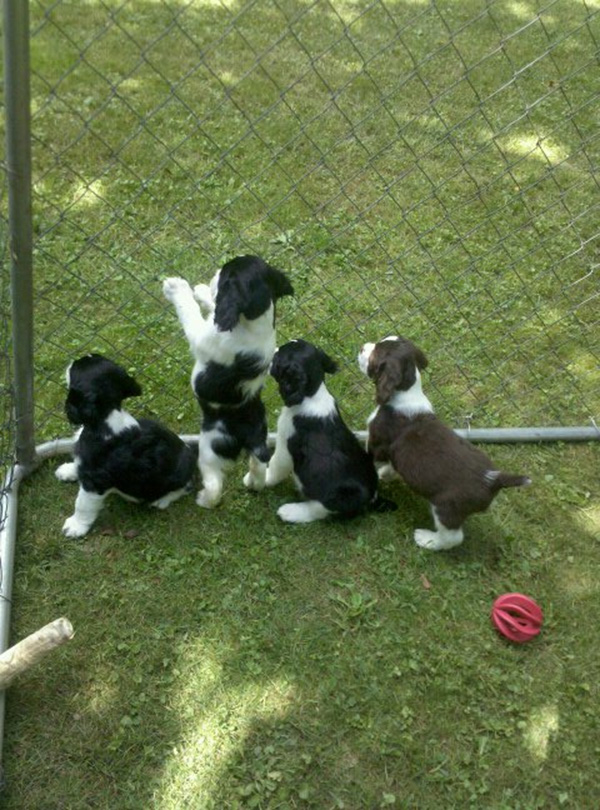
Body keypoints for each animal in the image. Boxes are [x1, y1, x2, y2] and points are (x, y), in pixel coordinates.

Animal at [55, 354, 197, 536]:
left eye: (76, 368)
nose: (71, 361)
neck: (106, 419)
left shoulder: (95, 482)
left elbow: (82, 504)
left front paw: (75, 527)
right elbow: (78, 464)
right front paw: (68, 470)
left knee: (185, 487)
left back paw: (162, 500)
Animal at [164, 254, 296, 504]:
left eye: (224, 275)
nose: (216, 272)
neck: (254, 322)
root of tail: (248, 435)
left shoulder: (204, 336)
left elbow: (192, 312)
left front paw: (178, 288)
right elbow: (214, 308)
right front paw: (202, 291)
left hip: (210, 448)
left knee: (215, 483)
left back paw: (204, 499)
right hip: (260, 444)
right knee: (259, 466)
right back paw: (252, 483)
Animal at [356, 334, 528, 548]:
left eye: (375, 355)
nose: (362, 347)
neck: (407, 392)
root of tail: (494, 479)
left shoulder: (376, 444)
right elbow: (391, 467)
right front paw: (386, 474)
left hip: (446, 507)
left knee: (452, 537)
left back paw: (427, 539)